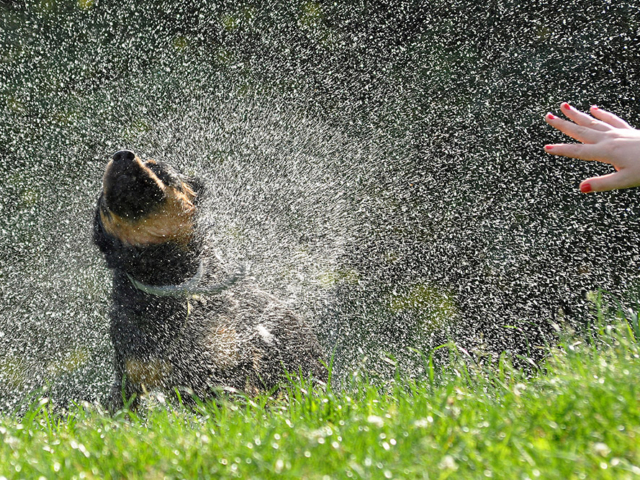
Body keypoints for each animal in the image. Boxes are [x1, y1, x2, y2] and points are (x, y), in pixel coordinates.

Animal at [92, 149, 328, 408]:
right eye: (101, 194)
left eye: (156, 166)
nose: (122, 154)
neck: (163, 276)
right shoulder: (131, 378)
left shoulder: (231, 365)